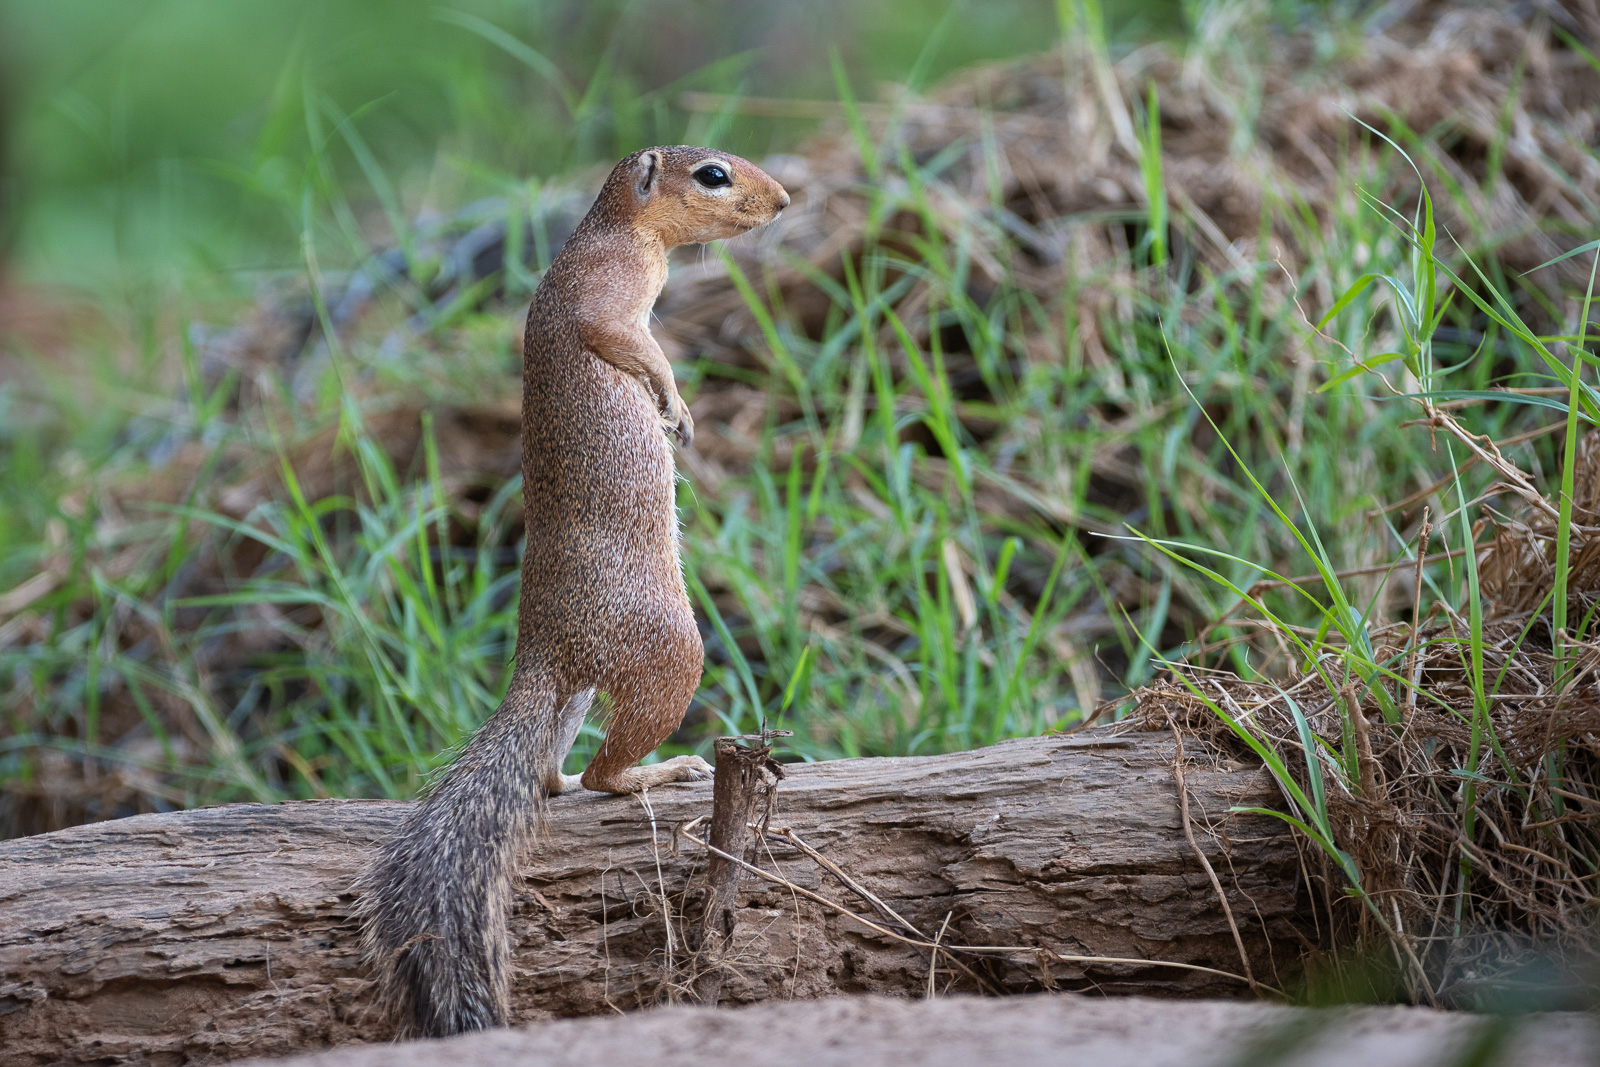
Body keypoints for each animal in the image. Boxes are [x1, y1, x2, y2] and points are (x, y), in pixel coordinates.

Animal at [360, 146, 790, 1036]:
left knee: (554, 778)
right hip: (671, 653)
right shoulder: (605, 297)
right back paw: (660, 771)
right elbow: (631, 346)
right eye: (713, 173)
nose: (786, 200)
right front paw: (675, 408)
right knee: (599, 777)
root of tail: (544, 651)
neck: (618, 229)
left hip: (578, 695)